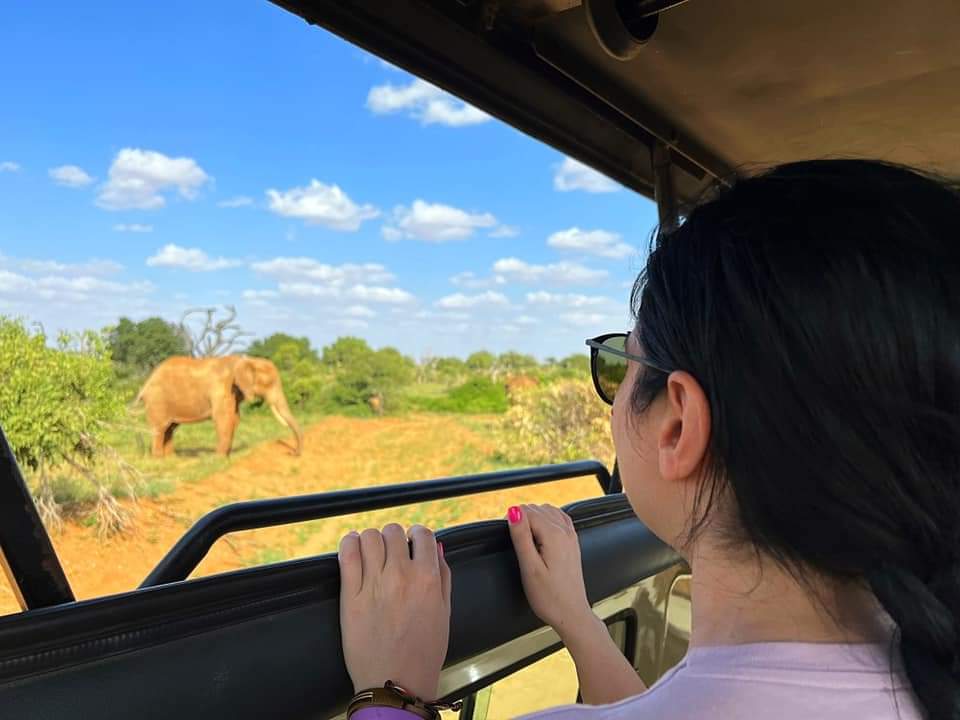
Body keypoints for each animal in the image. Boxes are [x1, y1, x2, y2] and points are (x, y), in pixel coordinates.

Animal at [135, 356, 304, 462]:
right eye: (269, 384)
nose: (292, 453)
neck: (247, 360)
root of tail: (145, 384)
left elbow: (234, 419)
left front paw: (227, 458)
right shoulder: (221, 388)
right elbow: (223, 418)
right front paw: (220, 460)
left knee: (170, 428)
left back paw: (172, 459)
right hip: (157, 401)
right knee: (161, 428)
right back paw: (159, 461)